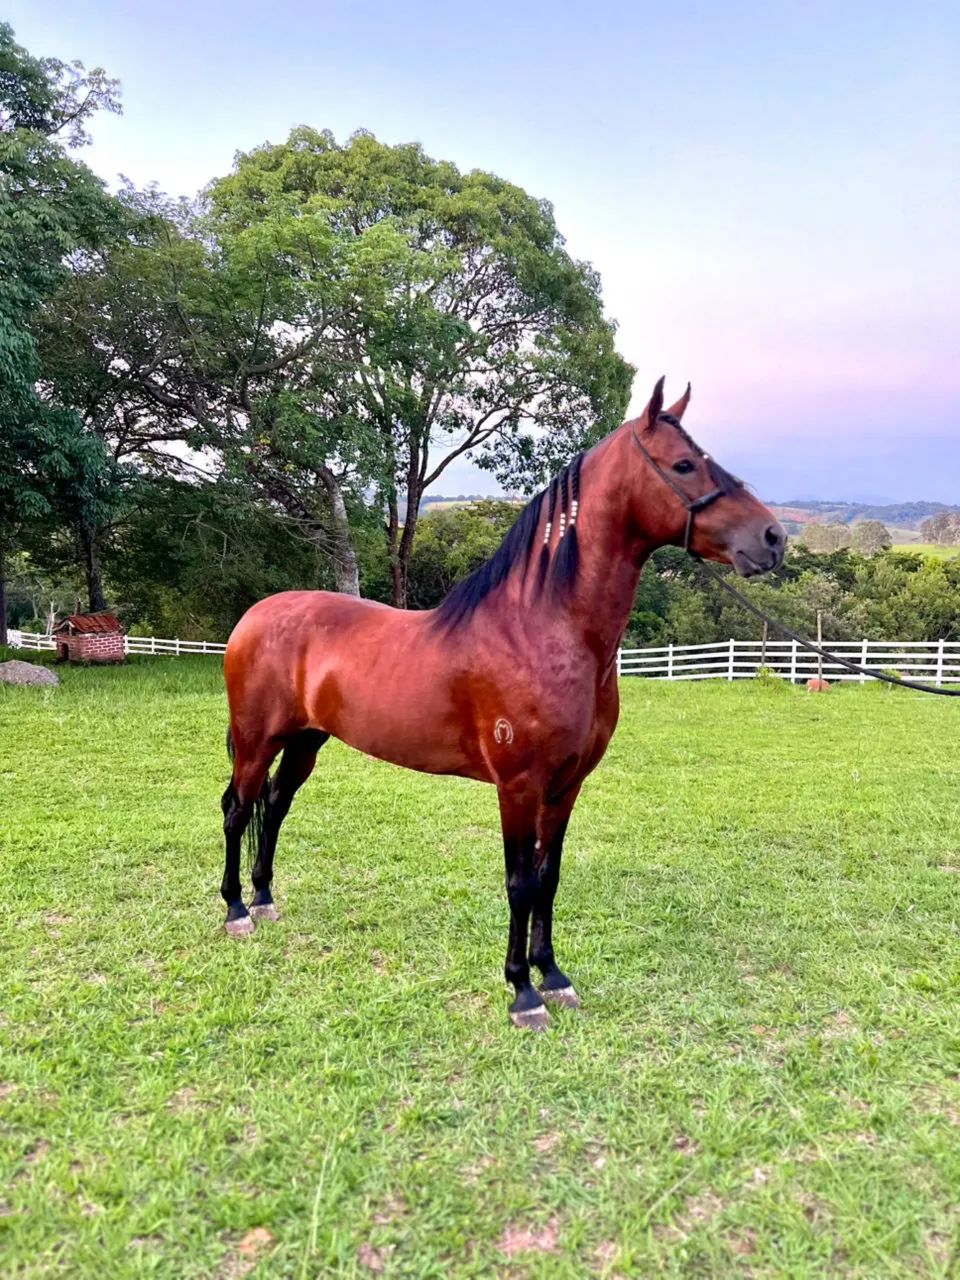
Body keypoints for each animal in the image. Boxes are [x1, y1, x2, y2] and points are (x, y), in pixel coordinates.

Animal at [220, 378, 786, 1028]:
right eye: (685, 464)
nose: (773, 539)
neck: (542, 629)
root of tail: (255, 617)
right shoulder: (518, 785)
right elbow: (519, 882)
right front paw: (523, 992)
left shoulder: (566, 786)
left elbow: (548, 877)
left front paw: (554, 976)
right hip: (258, 739)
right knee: (238, 809)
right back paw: (236, 910)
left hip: (306, 742)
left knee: (274, 806)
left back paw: (265, 898)